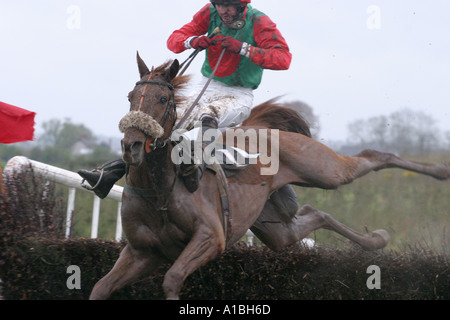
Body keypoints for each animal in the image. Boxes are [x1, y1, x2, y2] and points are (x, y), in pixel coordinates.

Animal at [89, 53, 450, 300]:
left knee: (374, 157)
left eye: (163, 99)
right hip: (272, 225)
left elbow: (173, 278)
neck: (160, 187)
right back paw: (376, 239)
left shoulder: (211, 237)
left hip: (323, 169)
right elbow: (100, 287)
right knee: (312, 215)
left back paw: (438, 171)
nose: (132, 146)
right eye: (130, 98)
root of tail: (268, 129)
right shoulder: (141, 253)